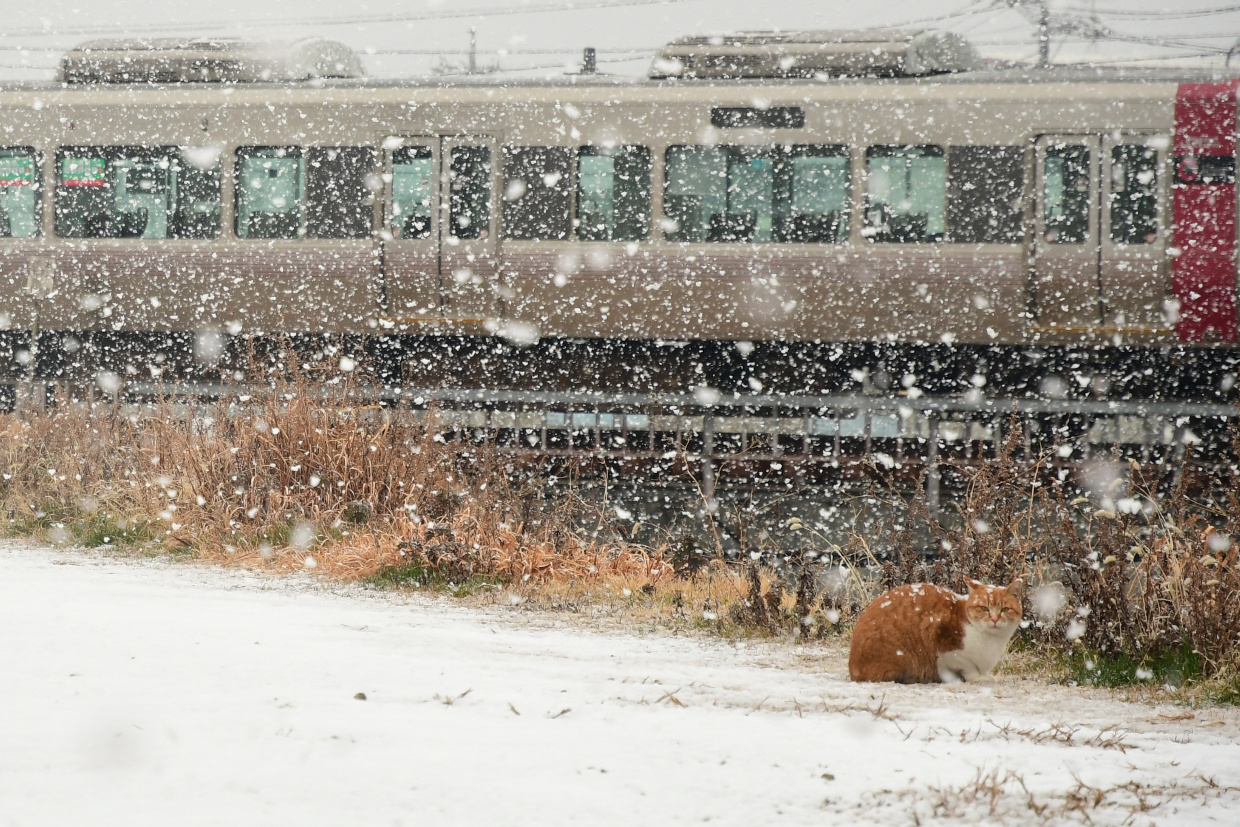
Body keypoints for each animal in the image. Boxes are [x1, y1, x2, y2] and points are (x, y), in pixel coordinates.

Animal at [848, 580, 1021, 684]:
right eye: (984, 608)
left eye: (1005, 609)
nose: (994, 619)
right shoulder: (949, 651)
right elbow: (968, 667)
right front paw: (977, 678)